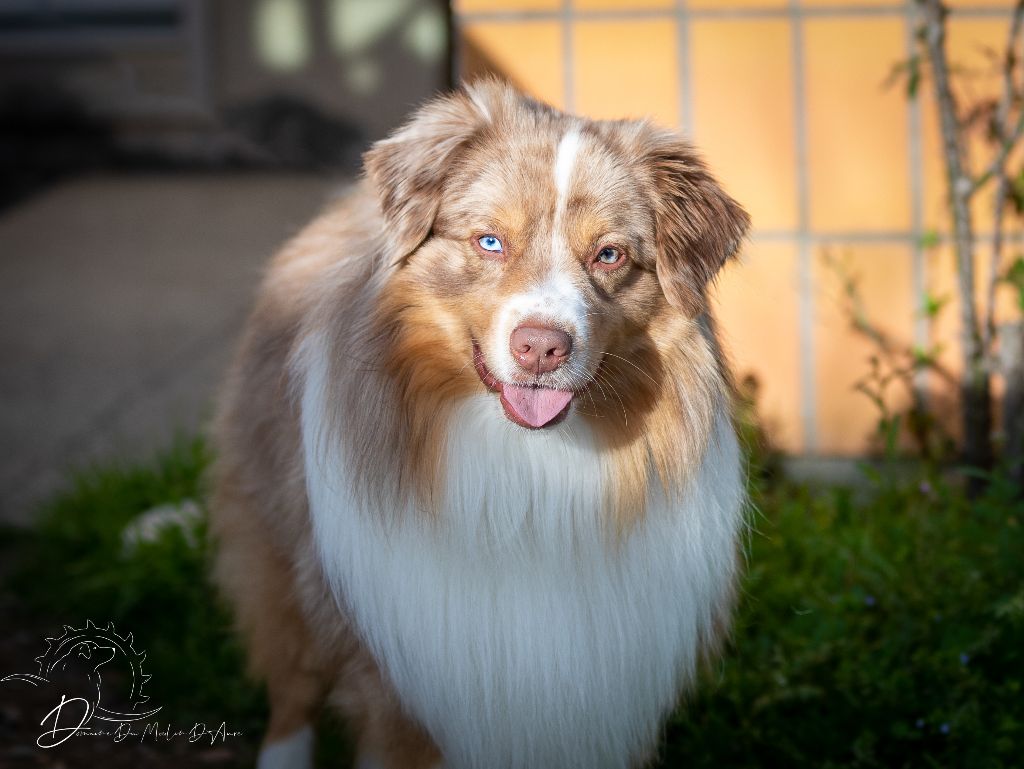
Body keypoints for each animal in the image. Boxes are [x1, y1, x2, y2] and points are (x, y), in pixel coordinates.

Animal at [210, 79, 750, 769]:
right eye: (490, 241)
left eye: (609, 255)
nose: (541, 348)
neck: (530, 466)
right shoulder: (407, 693)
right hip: (279, 540)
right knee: (292, 677)